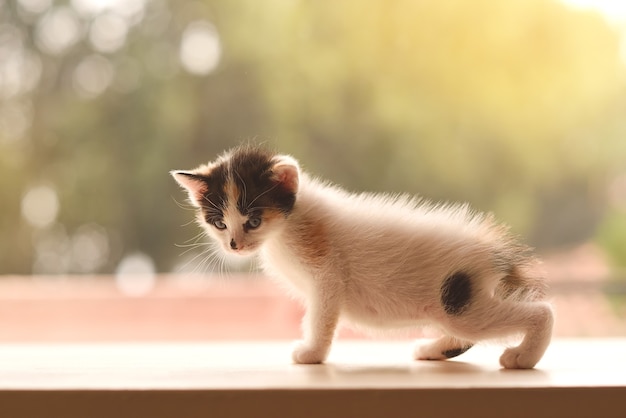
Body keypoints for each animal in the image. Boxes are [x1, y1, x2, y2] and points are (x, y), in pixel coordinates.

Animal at [171, 145, 552, 368]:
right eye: (220, 223)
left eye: (253, 220)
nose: (234, 245)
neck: (287, 226)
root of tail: (493, 250)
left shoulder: (327, 274)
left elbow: (321, 317)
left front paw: (312, 354)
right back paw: (433, 349)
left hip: (459, 303)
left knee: (541, 312)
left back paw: (522, 357)